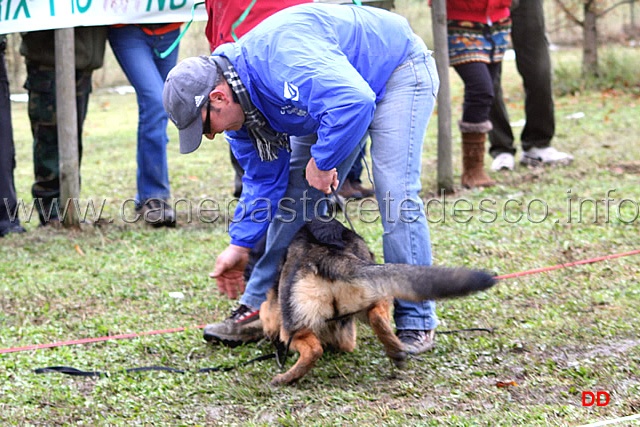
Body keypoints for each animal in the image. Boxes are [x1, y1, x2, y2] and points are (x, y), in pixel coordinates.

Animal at [258, 217, 496, 384]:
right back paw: (395, 350)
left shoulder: (273, 307)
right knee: (376, 317)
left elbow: (263, 310)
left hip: (291, 328)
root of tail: (329, 254)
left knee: (313, 349)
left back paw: (285, 378)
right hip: (372, 297)